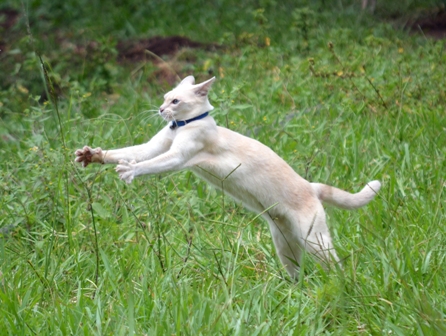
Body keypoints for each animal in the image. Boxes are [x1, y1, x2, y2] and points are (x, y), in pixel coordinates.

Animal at [76, 75, 380, 278]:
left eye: (175, 101)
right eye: (164, 98)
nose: (161, 110)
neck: (181, 126)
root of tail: (311, 186)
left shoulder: (178, 157)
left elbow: (147, 164)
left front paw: (128, 171)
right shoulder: (155, 146)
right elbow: (127, 152)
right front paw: (90, 155)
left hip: (314, 241)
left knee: (337, 266)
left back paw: (341, 286)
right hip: (285, 245)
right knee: (297, 273)